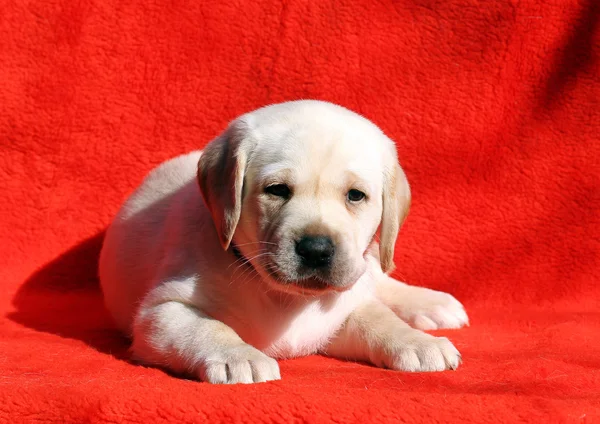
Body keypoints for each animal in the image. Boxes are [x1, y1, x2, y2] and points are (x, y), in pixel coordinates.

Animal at [99, 100, 468, 384]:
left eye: (355, 196)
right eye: (277, 190)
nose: (316, 250)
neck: (287, 298)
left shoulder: (340, 311)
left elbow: (377, 317)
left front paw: (416, 342)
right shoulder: (159, 313)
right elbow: (207, 327)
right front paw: (238, 356)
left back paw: (431, 305)